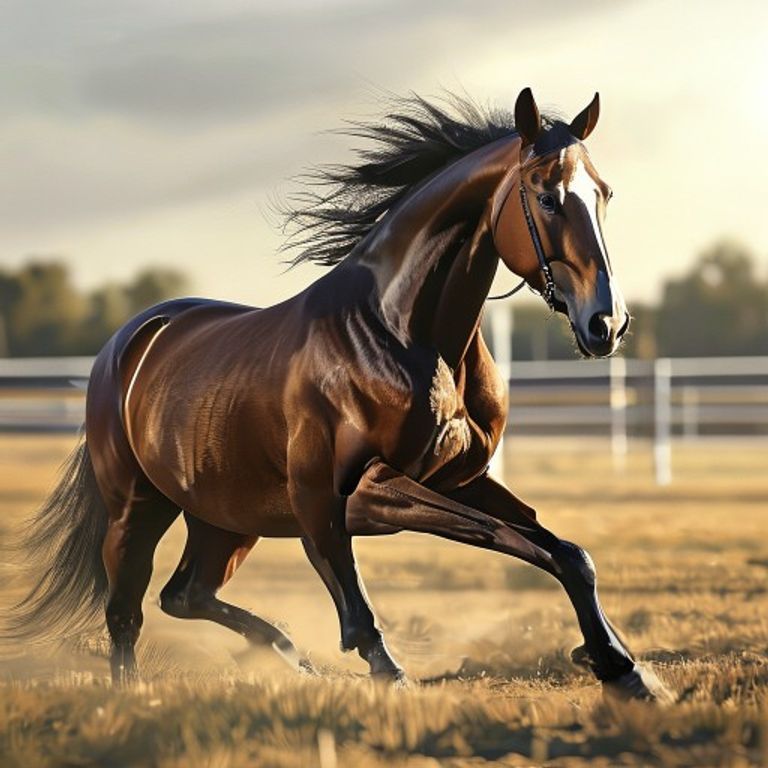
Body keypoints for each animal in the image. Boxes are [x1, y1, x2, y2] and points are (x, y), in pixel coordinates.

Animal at [10, 87, 671, 701]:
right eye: (547, 195)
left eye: (603, 193)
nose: (606, 324)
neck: (400, 331)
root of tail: (126, 344)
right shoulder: (354, 495)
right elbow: (450, 558)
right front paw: (390, 673)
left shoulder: (460, 479)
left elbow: (566, 553)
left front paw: (627, 671)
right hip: (137, 505)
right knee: (127, 611)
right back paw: (138, 693)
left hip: (224, 516)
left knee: (184, 594)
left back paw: (286, 654)